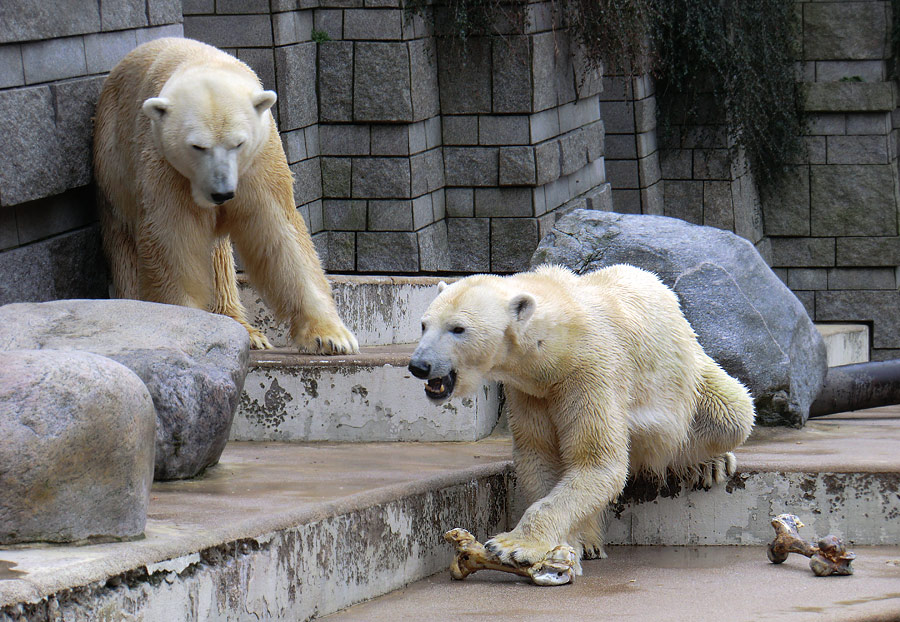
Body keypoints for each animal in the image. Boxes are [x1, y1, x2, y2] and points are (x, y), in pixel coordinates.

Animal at [93, 36, 356, 354]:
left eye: (238, 143)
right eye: (197, 146)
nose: (222, 193)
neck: (204, 63)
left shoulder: (261, 161)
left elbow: (279, 234)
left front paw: (331, 337)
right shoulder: (164, 165)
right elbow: (173, 239)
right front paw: (184, 323)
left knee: (218, 257)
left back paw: (247, 331)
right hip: (114, 164)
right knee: (124, 246)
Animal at [412, 264, 756, 576]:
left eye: (458, 328)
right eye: (424, 324)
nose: (419, 365)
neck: (558, 343)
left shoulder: (590, 371)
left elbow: (598, 461)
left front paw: (512, 545)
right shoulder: (529, 392)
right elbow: (539, 456)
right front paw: (566, 545)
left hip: (690, 378)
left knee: (731, 414)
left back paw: (708, 464)